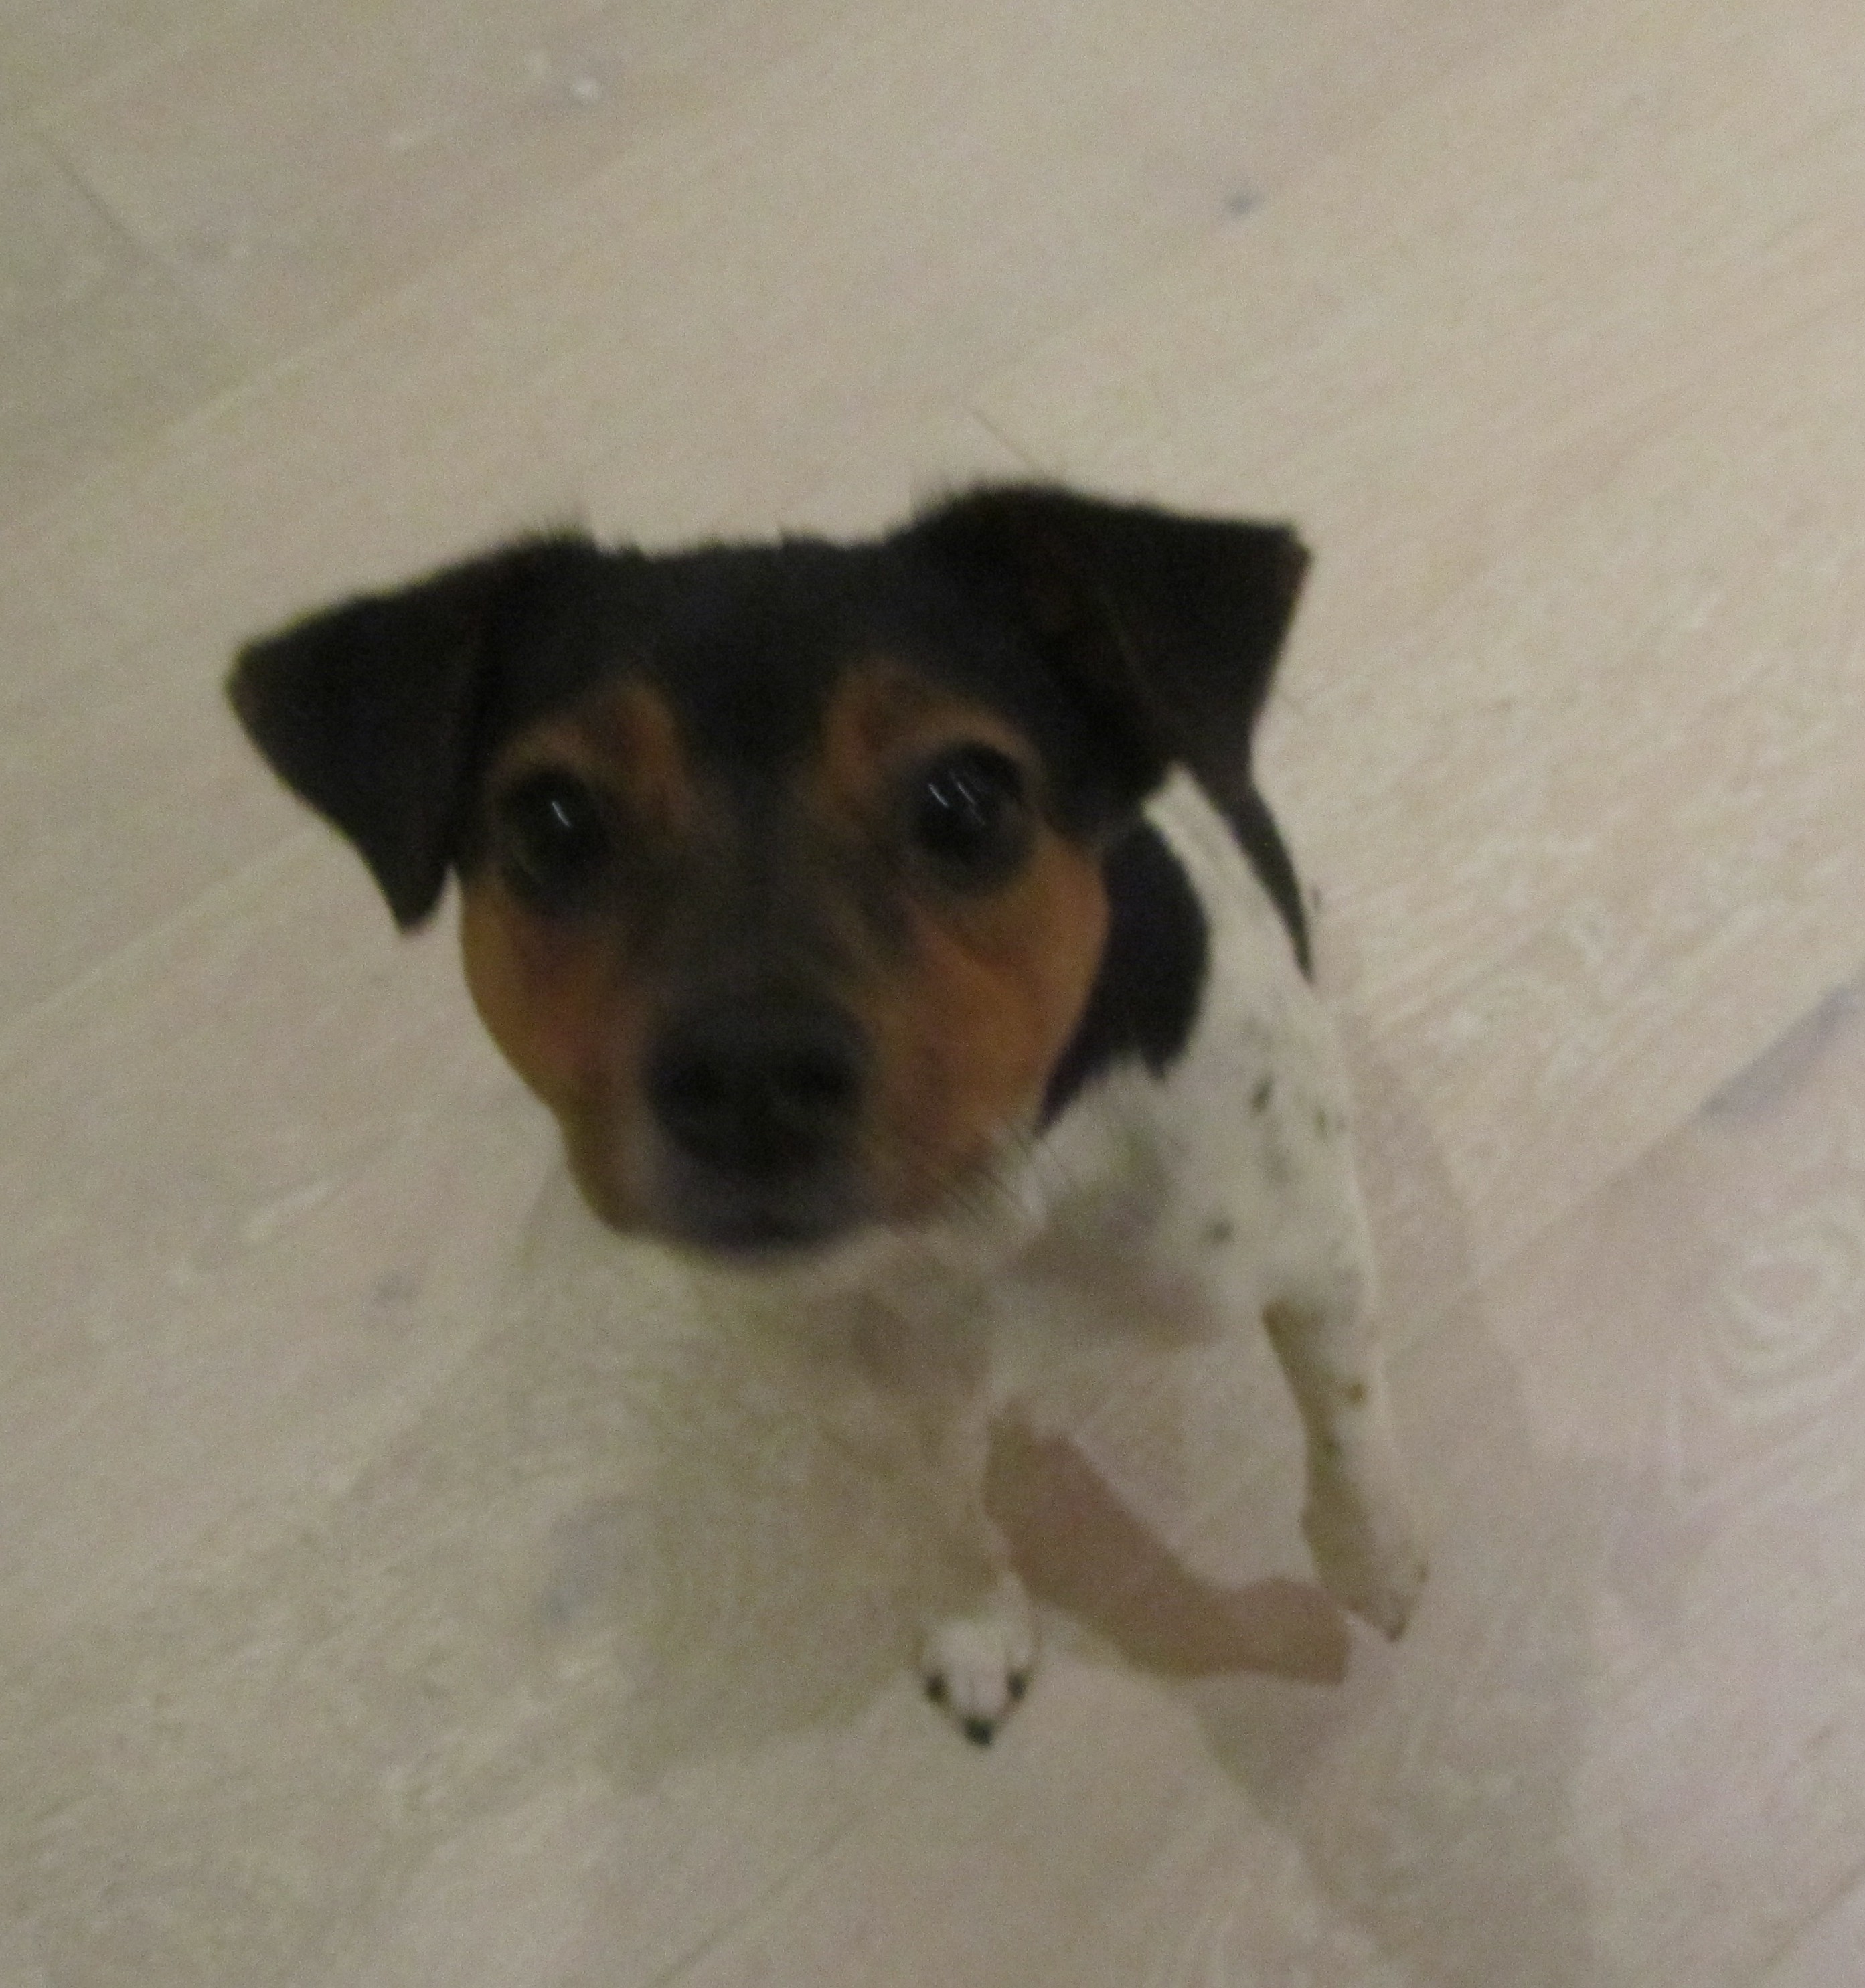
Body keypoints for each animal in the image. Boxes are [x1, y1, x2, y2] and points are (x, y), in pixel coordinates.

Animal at [228, 484, 1426, 1744]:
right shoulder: (869, 1401)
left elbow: (1348, 1423)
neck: (984, 1213)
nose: (747, 1075)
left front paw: (1380, 1563)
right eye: (550, 821)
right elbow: (940, 1516)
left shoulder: (1315, 1256)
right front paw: (973, 1621)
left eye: (966, 799)